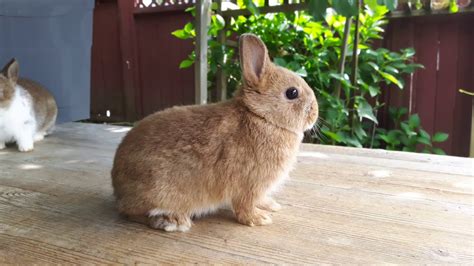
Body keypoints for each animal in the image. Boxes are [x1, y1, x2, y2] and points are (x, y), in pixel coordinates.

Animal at [111, 33, 318, 233]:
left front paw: (271, 206)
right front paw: (259, 219)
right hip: (157, 192)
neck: (261, 116)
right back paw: (173, 221)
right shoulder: (249, 185)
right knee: (129, 212)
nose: (315, 113)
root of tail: (117, 186)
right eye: (292, 93)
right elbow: (245, 206)